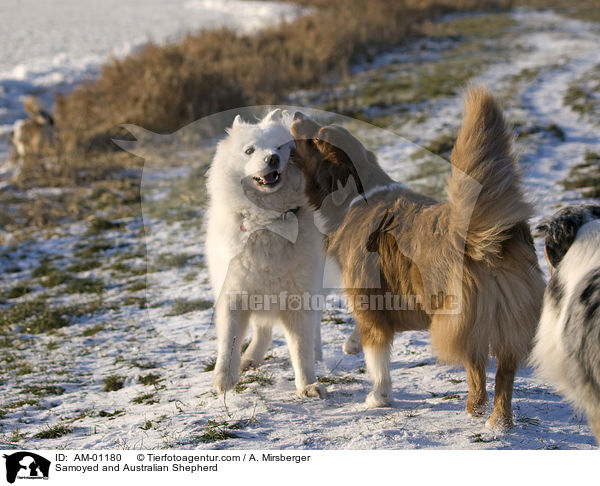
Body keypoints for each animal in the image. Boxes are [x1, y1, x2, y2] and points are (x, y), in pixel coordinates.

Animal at [207, 109, 328, 398]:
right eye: (249, 150)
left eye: (280, 148)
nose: (272, 158)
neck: (268, 222)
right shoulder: (234, 294)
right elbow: (228, 341)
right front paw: (224, 378)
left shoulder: (299, 299)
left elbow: (301, 348)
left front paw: (308, 385)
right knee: (262, 329)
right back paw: (250, 358)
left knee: (314, 327)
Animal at [288, 87, 548, 430]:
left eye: (315, 139)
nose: (295, 113)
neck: (358, 194)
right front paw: (352, 344)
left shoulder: (368, 303)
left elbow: (377, 358)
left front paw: (378, 398)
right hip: (509, 316)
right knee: (501, 373)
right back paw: (496, 421)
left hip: (458, 315)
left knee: (477, 367)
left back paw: (479, 412)